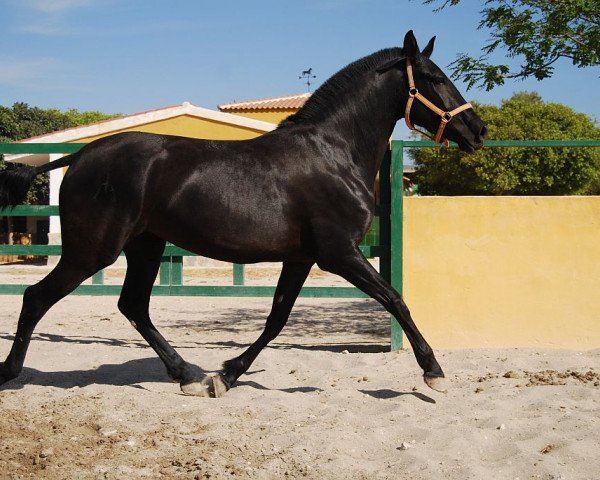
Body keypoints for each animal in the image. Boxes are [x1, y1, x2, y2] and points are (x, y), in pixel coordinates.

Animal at [0, 32, 486, 398]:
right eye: (434, 78)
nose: (478, 130)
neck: (332, 153)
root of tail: (82, 155)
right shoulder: (340, 253)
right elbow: (394, 298)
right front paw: (434, 372)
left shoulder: (302, 258)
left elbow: (276, 319)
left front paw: (226, 375)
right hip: (92, 251)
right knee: (37, 298)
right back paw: (10, 374)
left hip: (145, 246)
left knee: (133, 305)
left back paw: (189, 375)